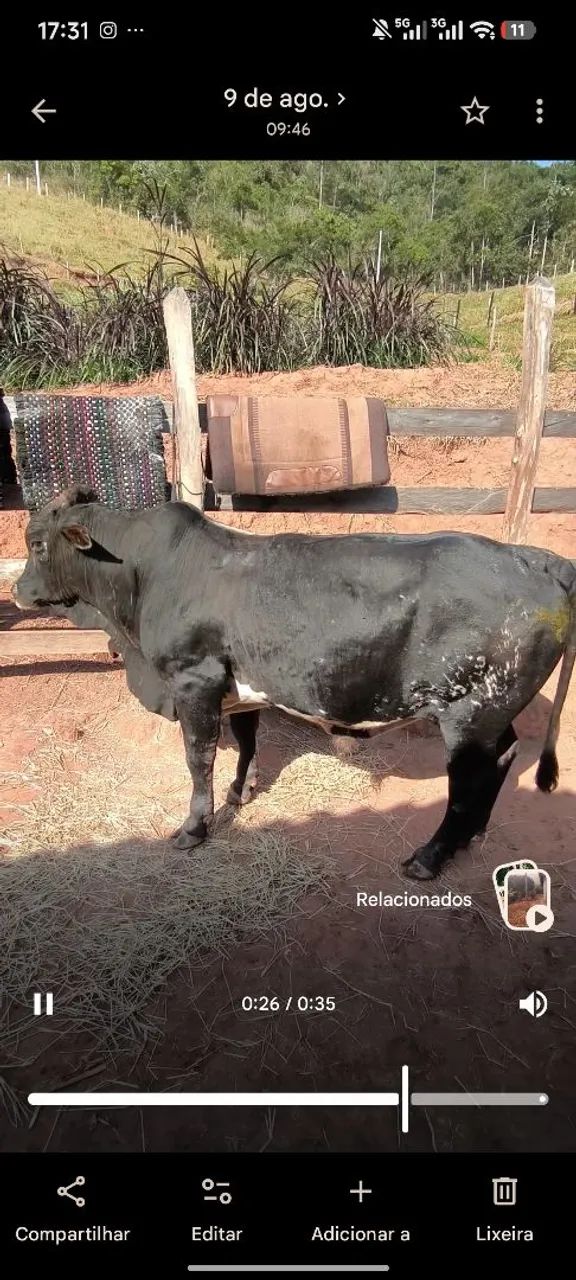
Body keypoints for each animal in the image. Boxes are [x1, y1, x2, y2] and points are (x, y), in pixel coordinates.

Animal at [12, 485, 576, 881]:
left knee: (467, 779)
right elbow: (246, 740)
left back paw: (430, 856)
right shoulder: (240, 686)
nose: (17, 590)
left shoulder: (194, 680)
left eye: (38, 544)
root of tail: (535, 558)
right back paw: (472, 834)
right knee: (503, 758)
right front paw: (241, 791)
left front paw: (194, 828)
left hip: (468, 714)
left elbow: (199, 759)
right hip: (492, 712)